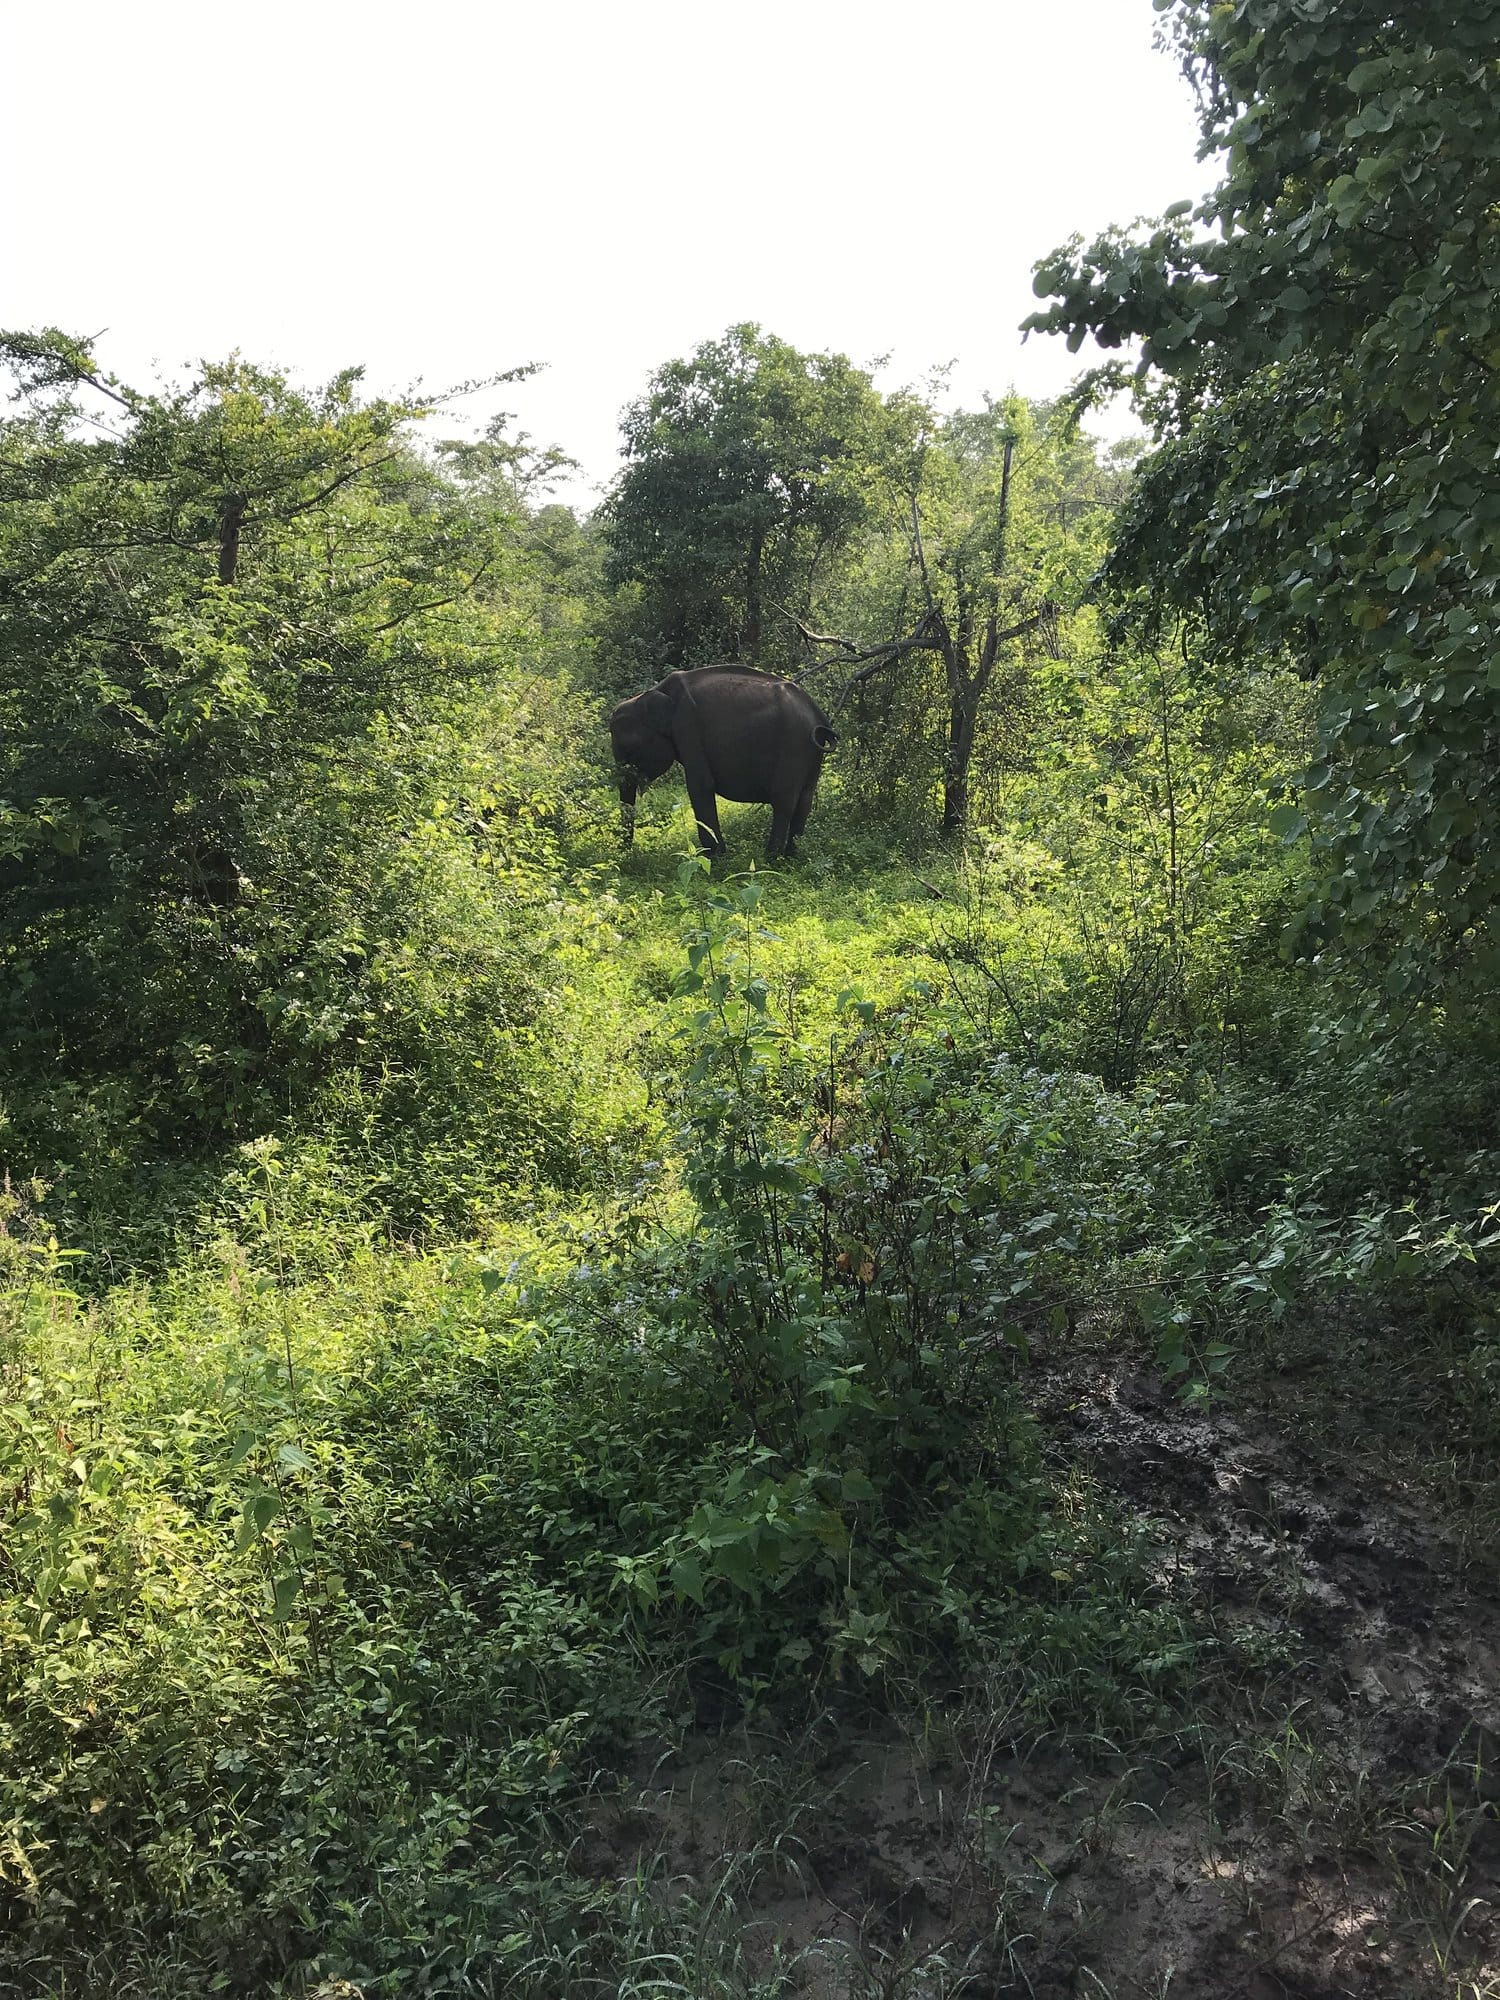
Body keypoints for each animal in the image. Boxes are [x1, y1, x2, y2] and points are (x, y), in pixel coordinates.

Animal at [608, 665, 837, 859]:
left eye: (629, 749)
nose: (626, 854)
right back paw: (791, 856)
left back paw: (770, 859)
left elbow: (700, 785)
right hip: (811, 753)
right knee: (805, 800)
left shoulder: (687, 726)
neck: (654, 693)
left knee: (784, 801)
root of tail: (820, 718)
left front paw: (714, 857)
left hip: (793, 746)